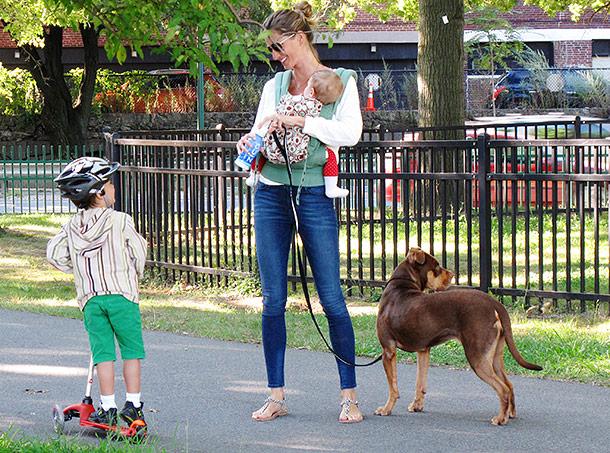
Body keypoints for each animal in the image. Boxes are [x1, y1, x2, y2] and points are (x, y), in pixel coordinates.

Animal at [376, 247, 540, 424]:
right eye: (437, 266)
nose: (453, 274)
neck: (401, 286)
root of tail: (493, 303)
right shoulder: (423, 351)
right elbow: (420, 383)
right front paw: (417, 406)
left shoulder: (388, 351)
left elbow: (393, 388)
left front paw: (386, 409)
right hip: (495, 356)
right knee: (509, 385)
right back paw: (510, 413)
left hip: (477, 357)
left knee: (502, 389)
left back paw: (500, 418)